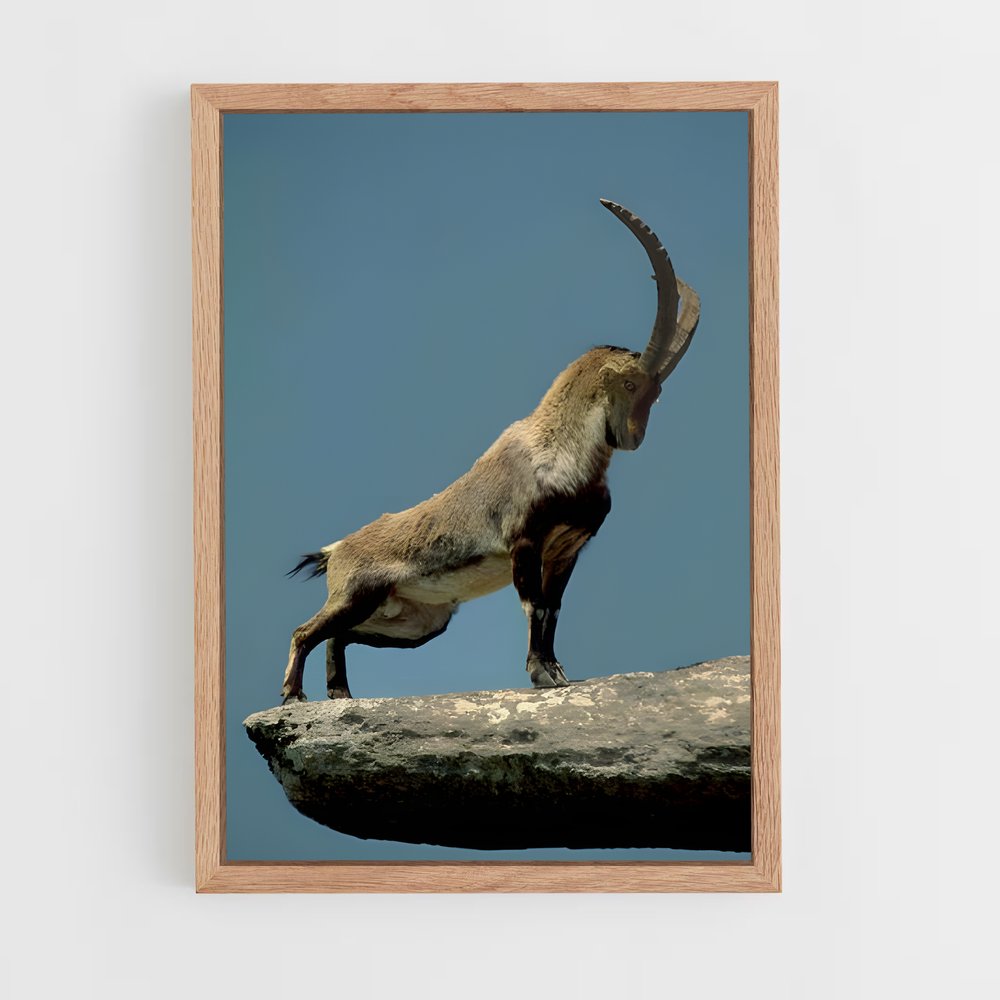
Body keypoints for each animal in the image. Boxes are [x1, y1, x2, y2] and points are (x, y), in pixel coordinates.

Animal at [280, 199, 700, 703]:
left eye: (657, 394)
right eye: (632, 384)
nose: (634, 438)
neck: (560, 455)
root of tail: (335, 550)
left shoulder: (567, 549)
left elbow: (554, 608)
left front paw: (557, 671)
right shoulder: (525, 541)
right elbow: (535, 606)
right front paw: (541, 675)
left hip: (417, 620)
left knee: (338, 635)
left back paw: (340, 695)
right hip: (356, 594)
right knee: (305, 630)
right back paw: (293, 695)